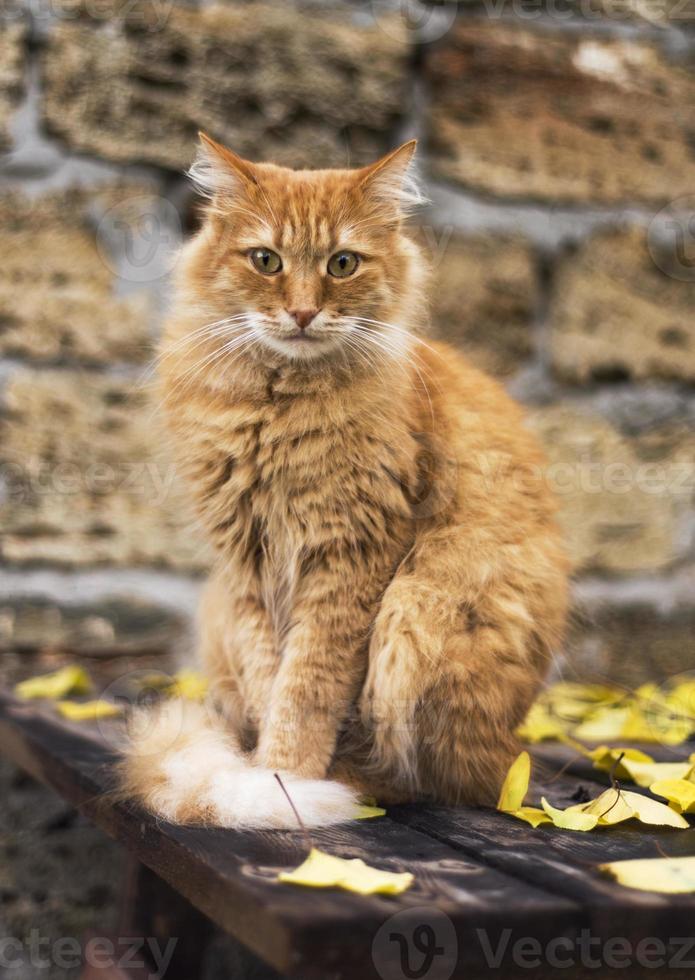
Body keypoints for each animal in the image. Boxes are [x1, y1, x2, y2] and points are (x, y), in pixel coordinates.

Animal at [122, 134, 568, 828]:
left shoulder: (352, 555)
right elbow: (269, 679)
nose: (303, 311)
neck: (276, 407)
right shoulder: (244, 565)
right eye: (266, 260)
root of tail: (510, 752)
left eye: (342, 264)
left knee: (434, 779)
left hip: (420, 606)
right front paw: (265, 777)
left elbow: (306, 687)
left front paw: (286, 781)